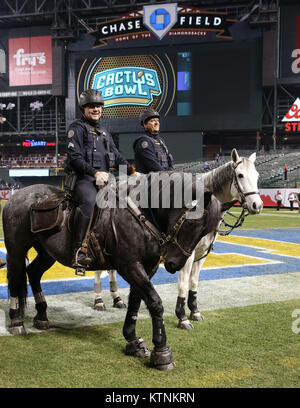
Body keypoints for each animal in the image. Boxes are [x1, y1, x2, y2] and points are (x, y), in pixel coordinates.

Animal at [2, 172, 220, 370]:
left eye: (205, 232)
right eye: (191, 223)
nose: (174, 263)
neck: (141, 214)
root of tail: (17, 195)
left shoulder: (146, 268)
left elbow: (136, 302)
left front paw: (133, 341)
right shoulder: (130, 265)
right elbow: (155, 302)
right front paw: (162, 352)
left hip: (47, 252)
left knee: (33, 272)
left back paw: (41, 316)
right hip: (16, 250)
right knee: (14, 279)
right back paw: (16, 321)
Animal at [176, 148, 262, 330]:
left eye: (257, 175)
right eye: (240, 175)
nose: (257, 205)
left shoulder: (201, 254)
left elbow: (193, 282)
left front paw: (195, 312)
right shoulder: (186, 254)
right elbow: (183, 283)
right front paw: (182, 318)